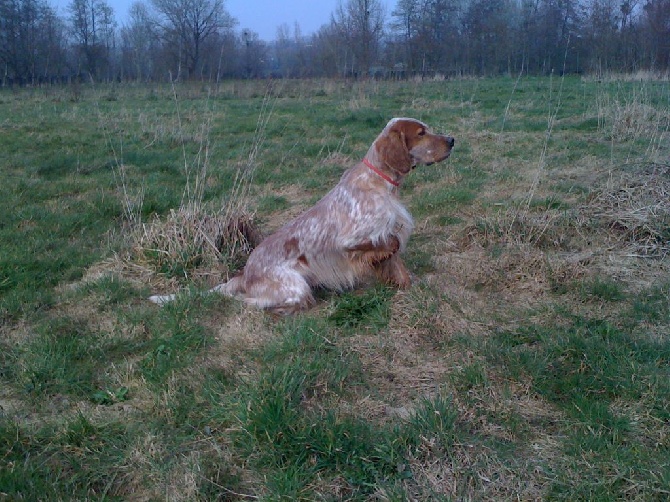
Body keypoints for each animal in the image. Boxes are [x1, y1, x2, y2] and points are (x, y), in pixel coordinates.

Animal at [151, 118, 456, 314]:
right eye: (421, 133)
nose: (452, 139)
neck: (380, 183)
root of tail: (245, 273)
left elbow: (396, 260)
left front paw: (409, 285)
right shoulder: (350, 240)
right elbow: (388, 244)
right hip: (294, 285)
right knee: (252, 303)